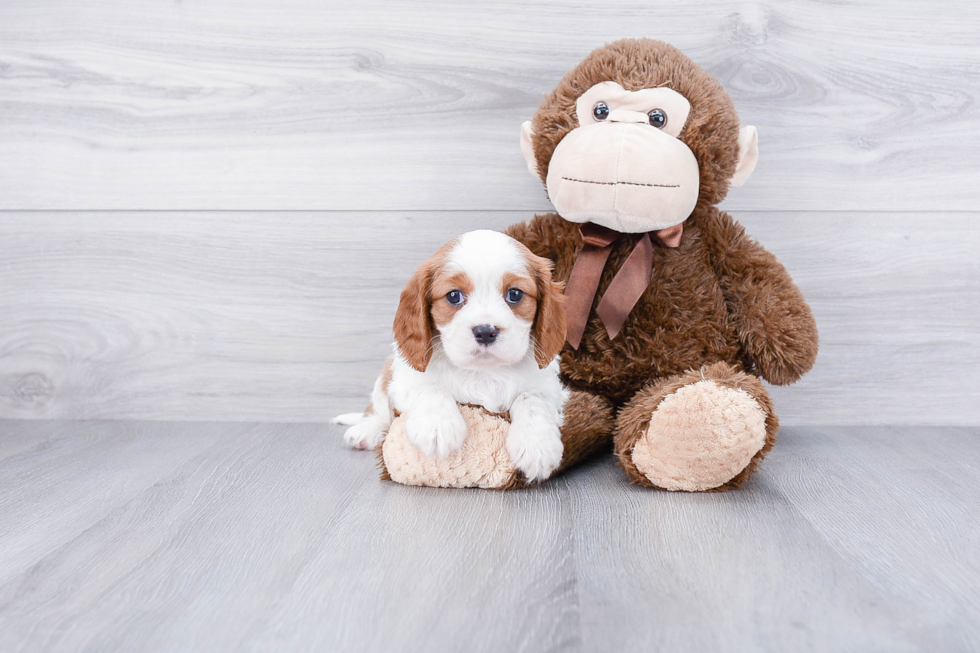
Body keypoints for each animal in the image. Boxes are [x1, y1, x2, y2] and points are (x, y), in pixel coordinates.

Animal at [334, 229, 572, 478]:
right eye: (454, 296)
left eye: (515, 294)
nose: (485, 332)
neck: (483, 372)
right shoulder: (406, 381)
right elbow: (431, 388)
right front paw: (437, 427)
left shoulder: (550, 388)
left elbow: (532, 399)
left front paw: (537, 445)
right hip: (386, 373)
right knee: (379, 412)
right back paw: (366, 431)